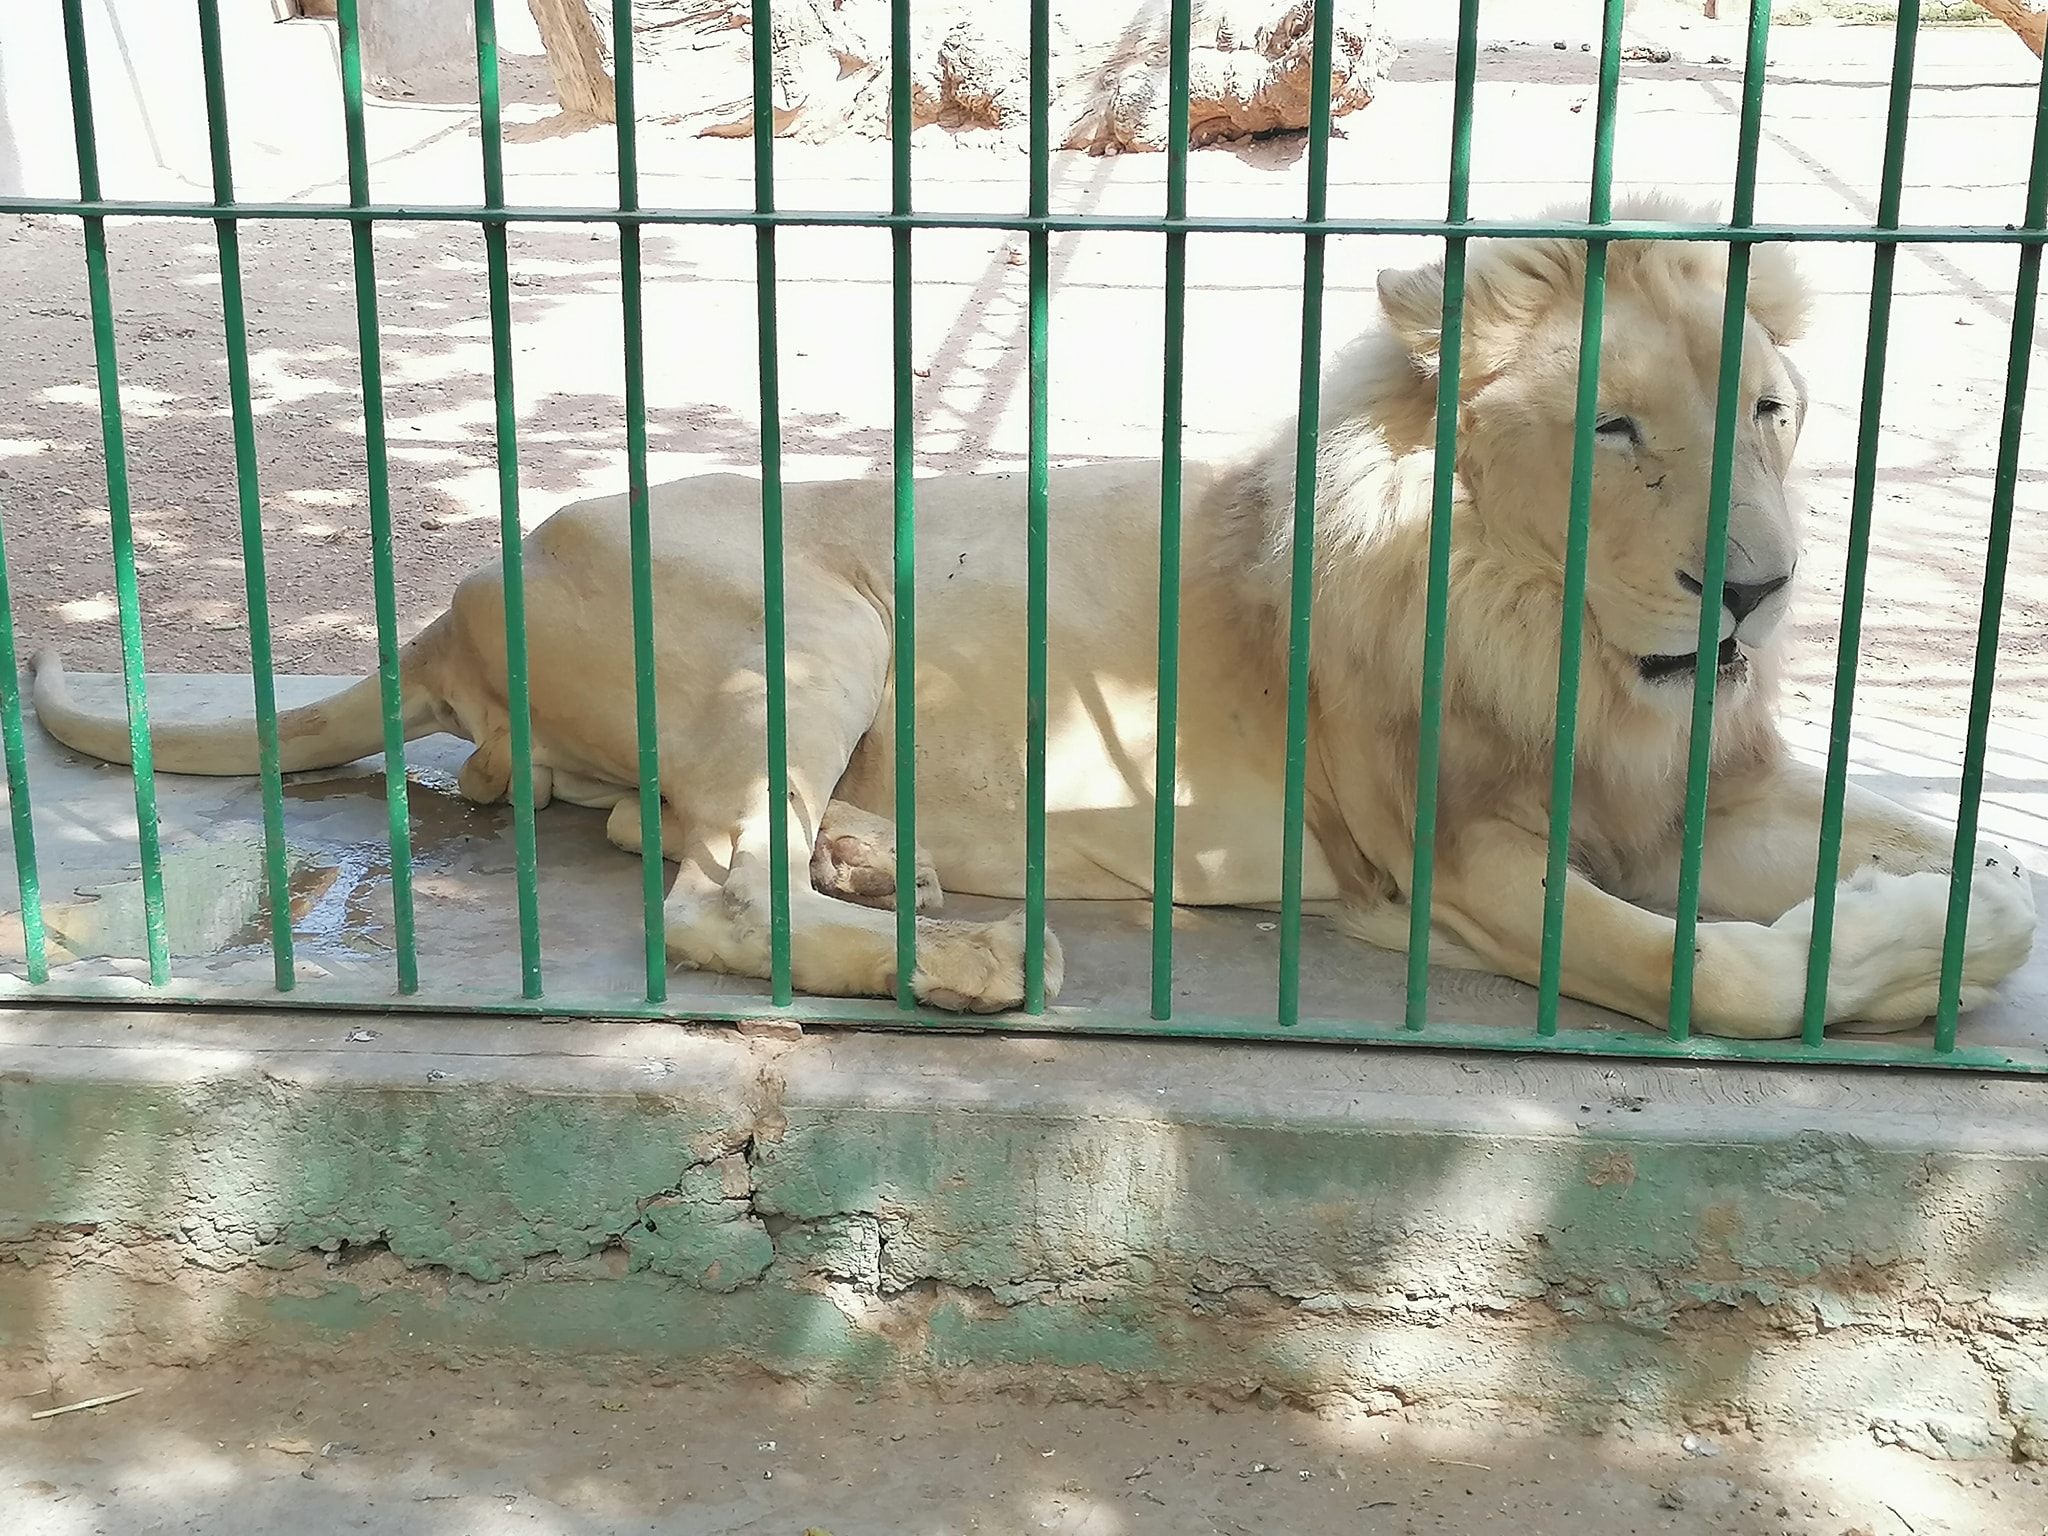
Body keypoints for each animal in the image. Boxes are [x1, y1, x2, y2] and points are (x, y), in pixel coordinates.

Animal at [28, 192, 2031, 1036]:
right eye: (1615, 429)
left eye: (1767, 414)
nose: (1757, 588)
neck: (1556, 635)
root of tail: (454, 596)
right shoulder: (1441, 860)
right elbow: (1703, 970)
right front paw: (1912, 944)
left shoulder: (1689, 780)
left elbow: (1892, 825)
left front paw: (1960, 885)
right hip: (813, 619)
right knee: (704, 893)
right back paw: (969, 961)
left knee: (655, 829)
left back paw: (881, 862)